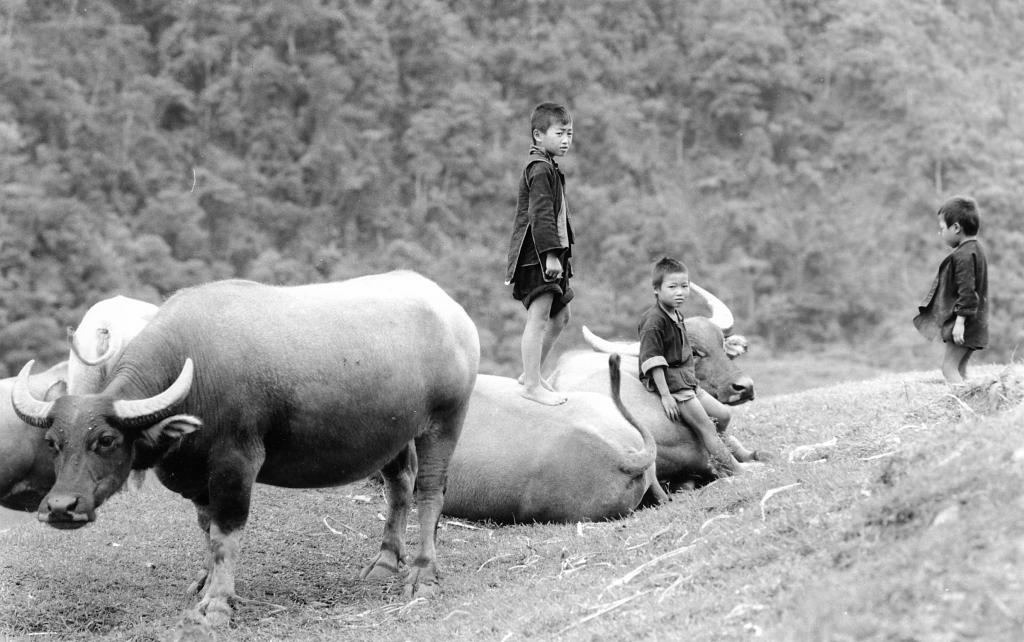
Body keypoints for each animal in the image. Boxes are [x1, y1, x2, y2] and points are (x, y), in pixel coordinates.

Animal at [12, 272, 479, 626]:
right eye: (53, 443)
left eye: (106, 440)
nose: (60, 507)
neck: (194, 372)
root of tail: (453, 313)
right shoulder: (198, 476)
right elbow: (207, 529)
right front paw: (206, 581)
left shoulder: (235, 463)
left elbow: (226, 533)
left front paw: (218, 603)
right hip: (393, 434)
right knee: (399, 485)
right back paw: (384, 562)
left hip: (445, 420)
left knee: (429, 492)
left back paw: (422, 575)